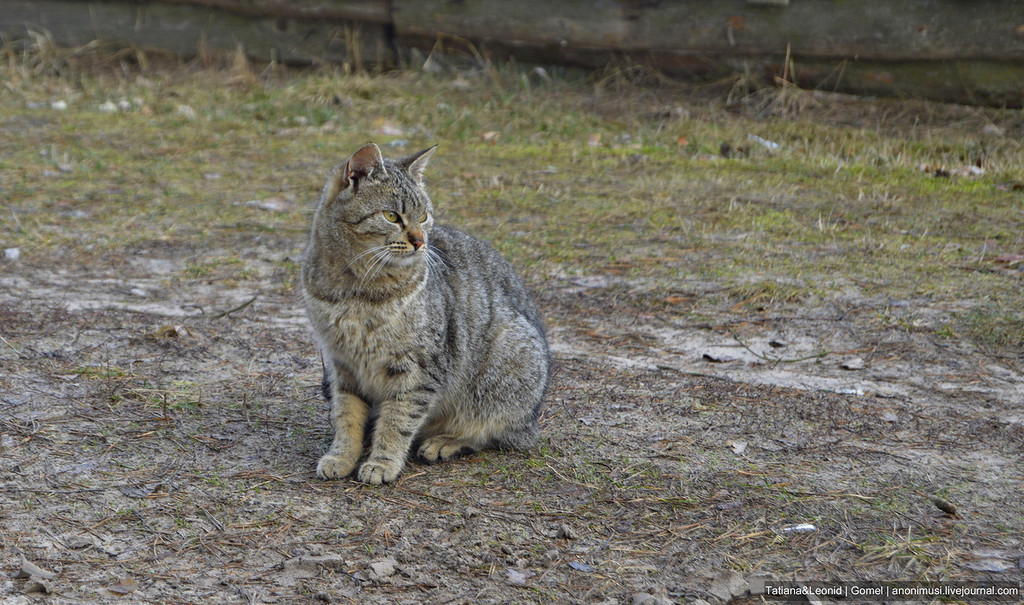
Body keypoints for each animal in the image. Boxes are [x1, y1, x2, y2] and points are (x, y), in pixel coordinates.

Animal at [299, 143, 548, 487]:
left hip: (508, 364)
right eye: (392, 216)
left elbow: (398, 420)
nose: (420, 241)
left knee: (492, 432)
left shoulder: (417, 369)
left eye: (424, 216)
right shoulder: (342, 365)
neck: (357, 288)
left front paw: (383, 462)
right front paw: (342, 455)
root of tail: (533, 418)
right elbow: (345, 415)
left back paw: (445, 441)